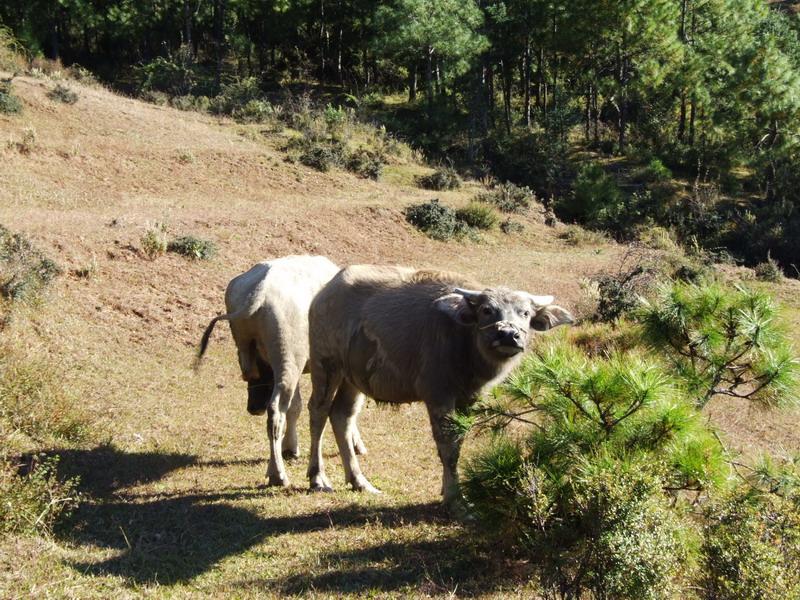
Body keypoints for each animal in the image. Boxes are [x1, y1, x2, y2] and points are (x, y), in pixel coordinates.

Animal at [198, 254, 368, 488]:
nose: (253, 408)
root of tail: (259, 288)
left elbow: (296, 406)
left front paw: (291, 447)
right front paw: (357, 443)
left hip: (278, 362)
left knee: (282, 407)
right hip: (290, 359)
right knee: (276, 411)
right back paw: (278, 474)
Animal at [306, 264, 576, 504]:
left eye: (525, 313)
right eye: (487, 310)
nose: (509, 334)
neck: (465, 342)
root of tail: (323, 294)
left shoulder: (469, 398)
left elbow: (459, 441)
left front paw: (450, 489)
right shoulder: (438, 396)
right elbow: (448, 446)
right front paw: (455, 498)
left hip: (352, 378)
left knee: (342, 415)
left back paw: (359, 481)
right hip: (325, 365)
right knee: (318, 411)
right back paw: (317, 478)